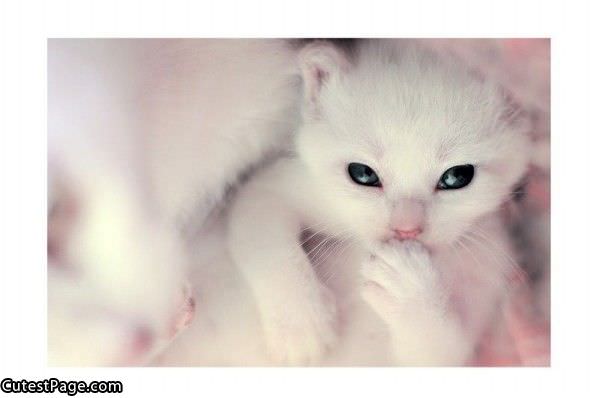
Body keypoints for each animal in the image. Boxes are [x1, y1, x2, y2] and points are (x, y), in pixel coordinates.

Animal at [230, 38, 536, 366]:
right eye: (363, 173)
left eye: (456, 177)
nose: (406, 228)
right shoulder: (292, 188)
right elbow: (262, 227)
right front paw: (301, 325)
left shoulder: (489, 261)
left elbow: (438, 352)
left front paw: (411, 292)